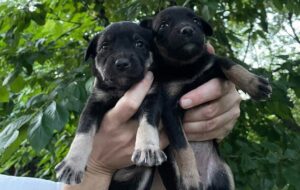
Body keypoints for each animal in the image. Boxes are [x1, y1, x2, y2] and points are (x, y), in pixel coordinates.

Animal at [54, 21, 166, 186]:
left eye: (139, 44)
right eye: (104, 47)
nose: (122, 63)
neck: (121, 89)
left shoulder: (151, 100)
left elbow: (147, 125)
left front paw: (147, 149)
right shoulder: (93, 104)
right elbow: (83, 134)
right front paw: (72, 164)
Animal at [141, 5, 272, 190]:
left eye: (196, 20)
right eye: (163, 26)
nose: (187, 30)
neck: (188, 67)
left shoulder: (212, 64)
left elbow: (230, 64)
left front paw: (254, 83)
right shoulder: (169, 109)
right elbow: (183, 146)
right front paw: (190, 178)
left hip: (224, 176)